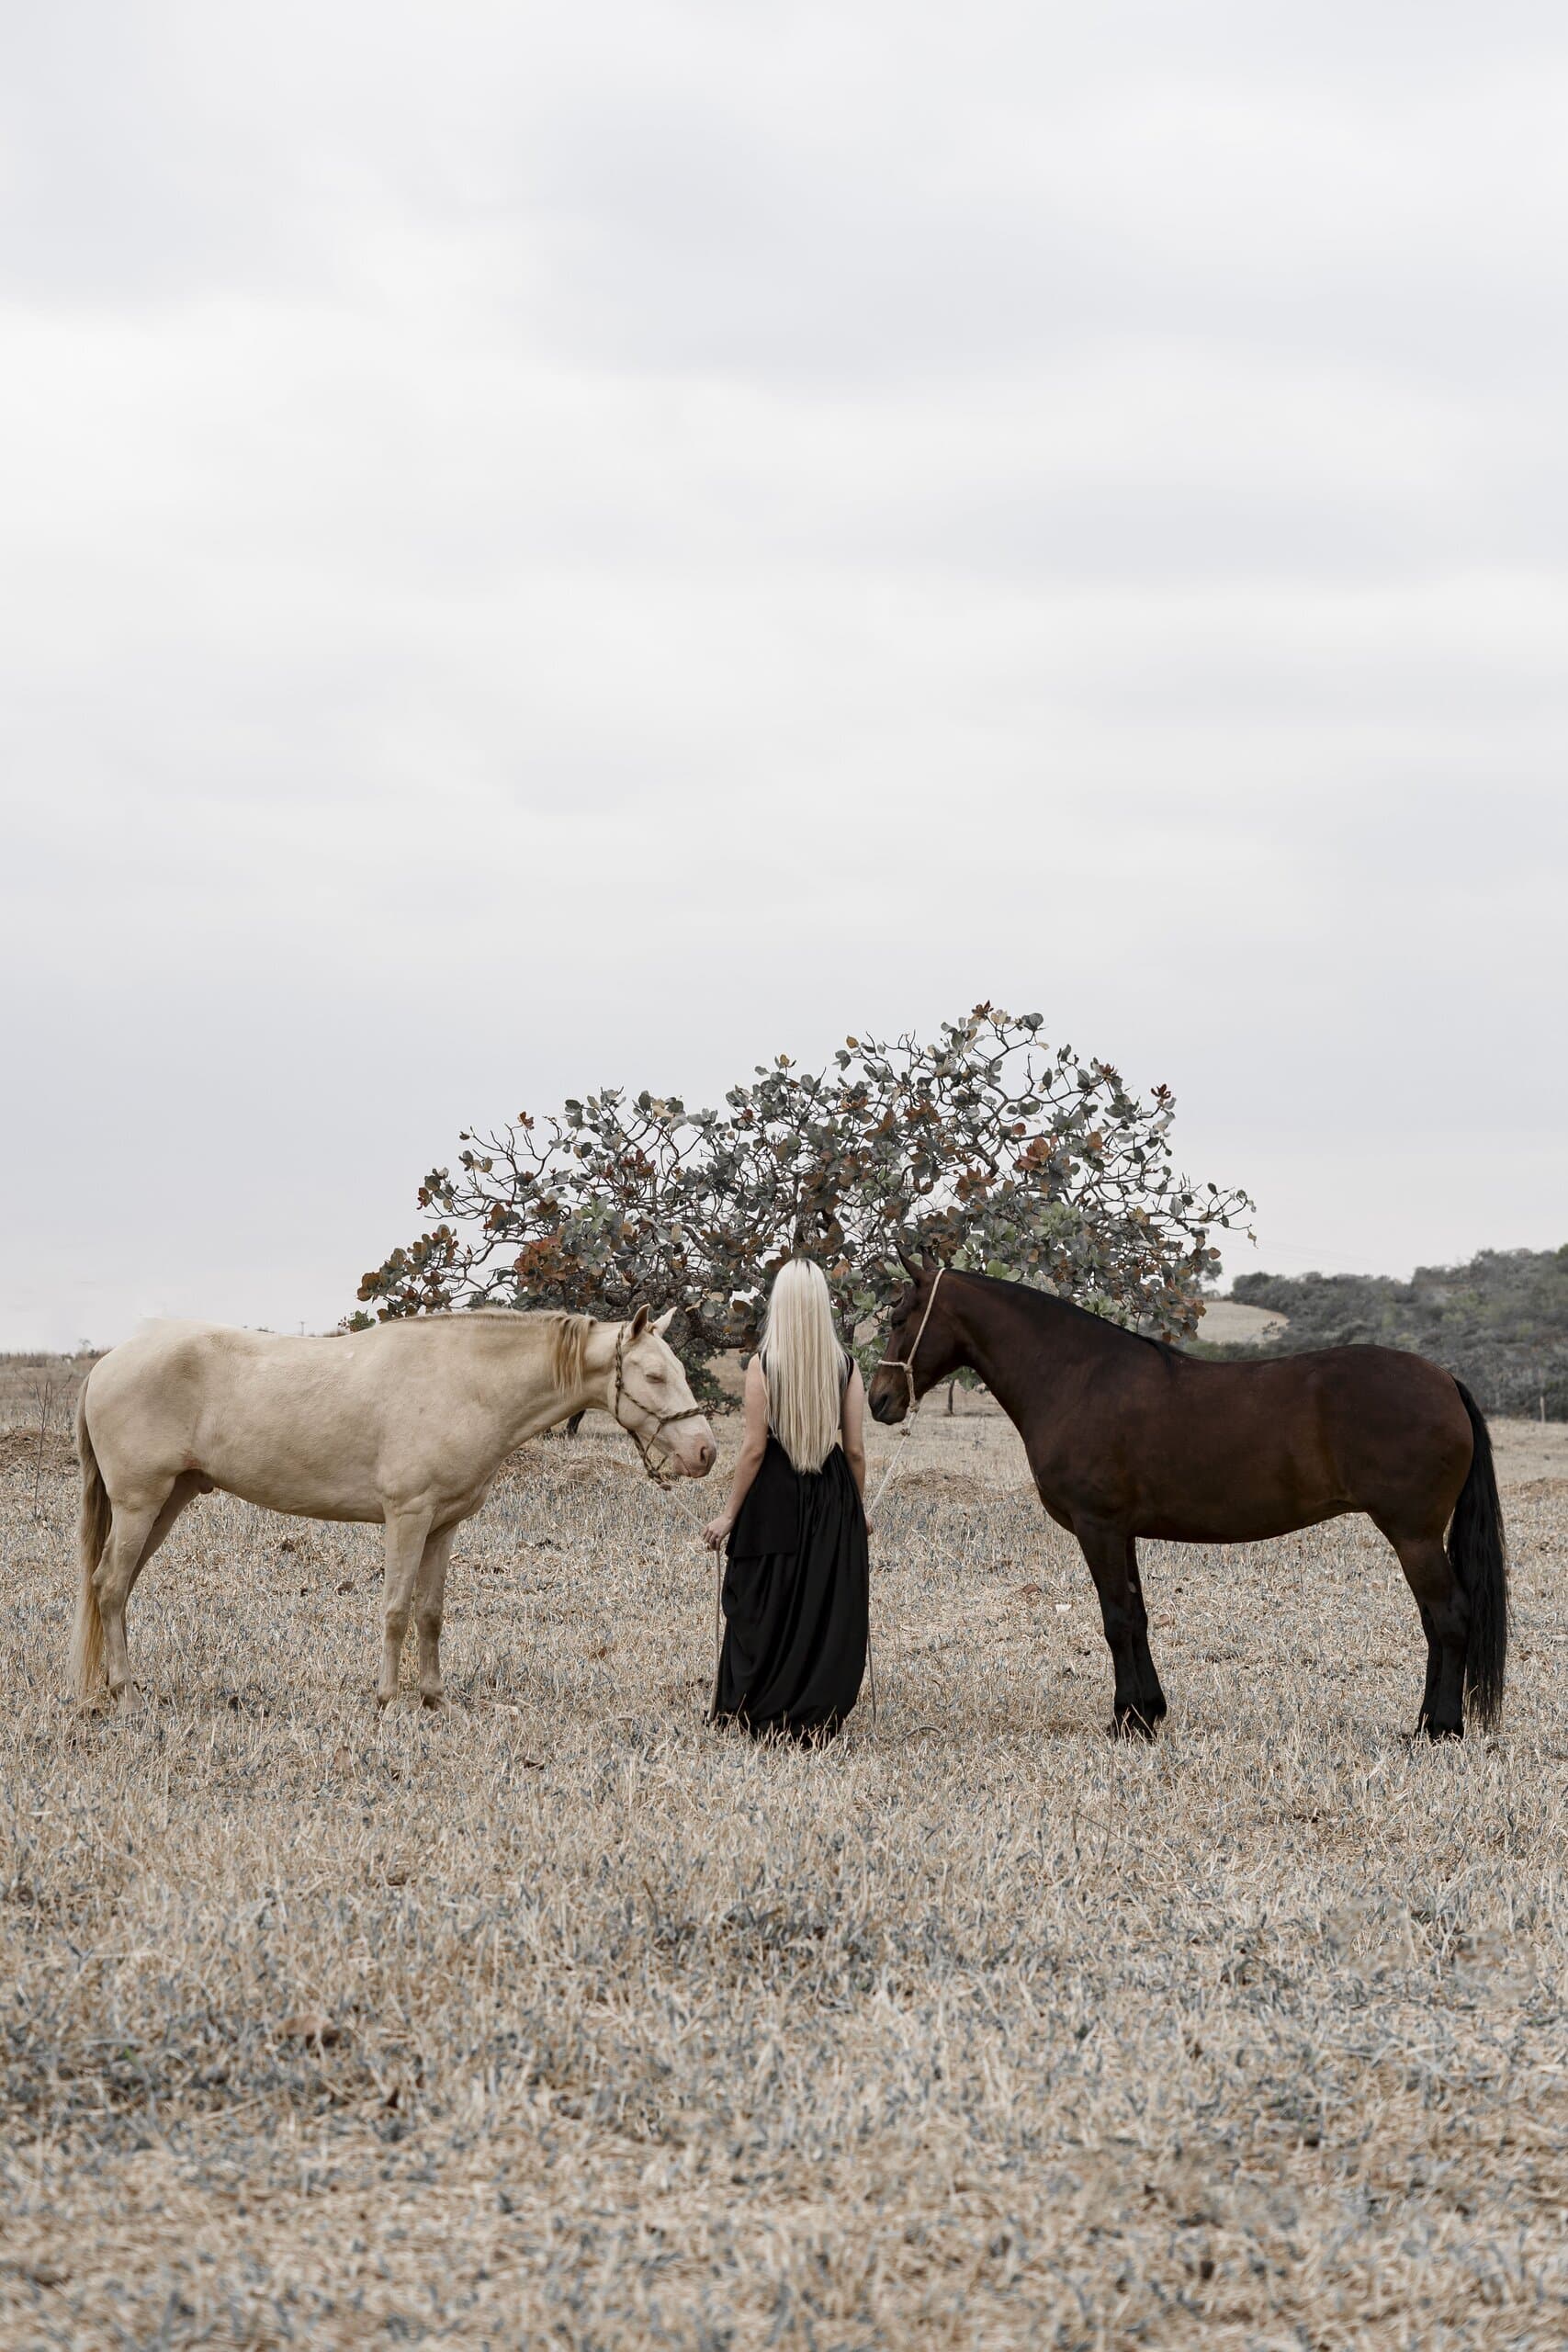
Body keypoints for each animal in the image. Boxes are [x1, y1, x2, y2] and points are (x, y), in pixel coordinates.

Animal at [73, 1305, 716, 1715]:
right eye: (653, 1374)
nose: (705, 1452)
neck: (465, 1382)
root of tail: (108, 1363)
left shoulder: (444, 1525)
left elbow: (430, 1614)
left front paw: (435, 1699)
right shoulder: (407, 1517)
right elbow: (396, 1611)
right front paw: (386, 1701)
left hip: (169, 1501)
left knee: (113, 1587)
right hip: (140, 1502)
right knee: (110, 1587)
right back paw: (126, 1697)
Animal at [868, 1258, 1507, 1741]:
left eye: (899, 1317)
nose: (879, 1400)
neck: (1077, 1377)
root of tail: (1444, 1379)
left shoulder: (1098, 1527)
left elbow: (1116, 1620)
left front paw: (1126, 1723)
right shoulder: (1121, 1531)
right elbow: (1137, 1617)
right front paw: (1147, 1712)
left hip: (1413, 1533)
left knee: (1449, 1616)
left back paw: (1440, 1730)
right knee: (1433, 1621)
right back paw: (1422, 1723)